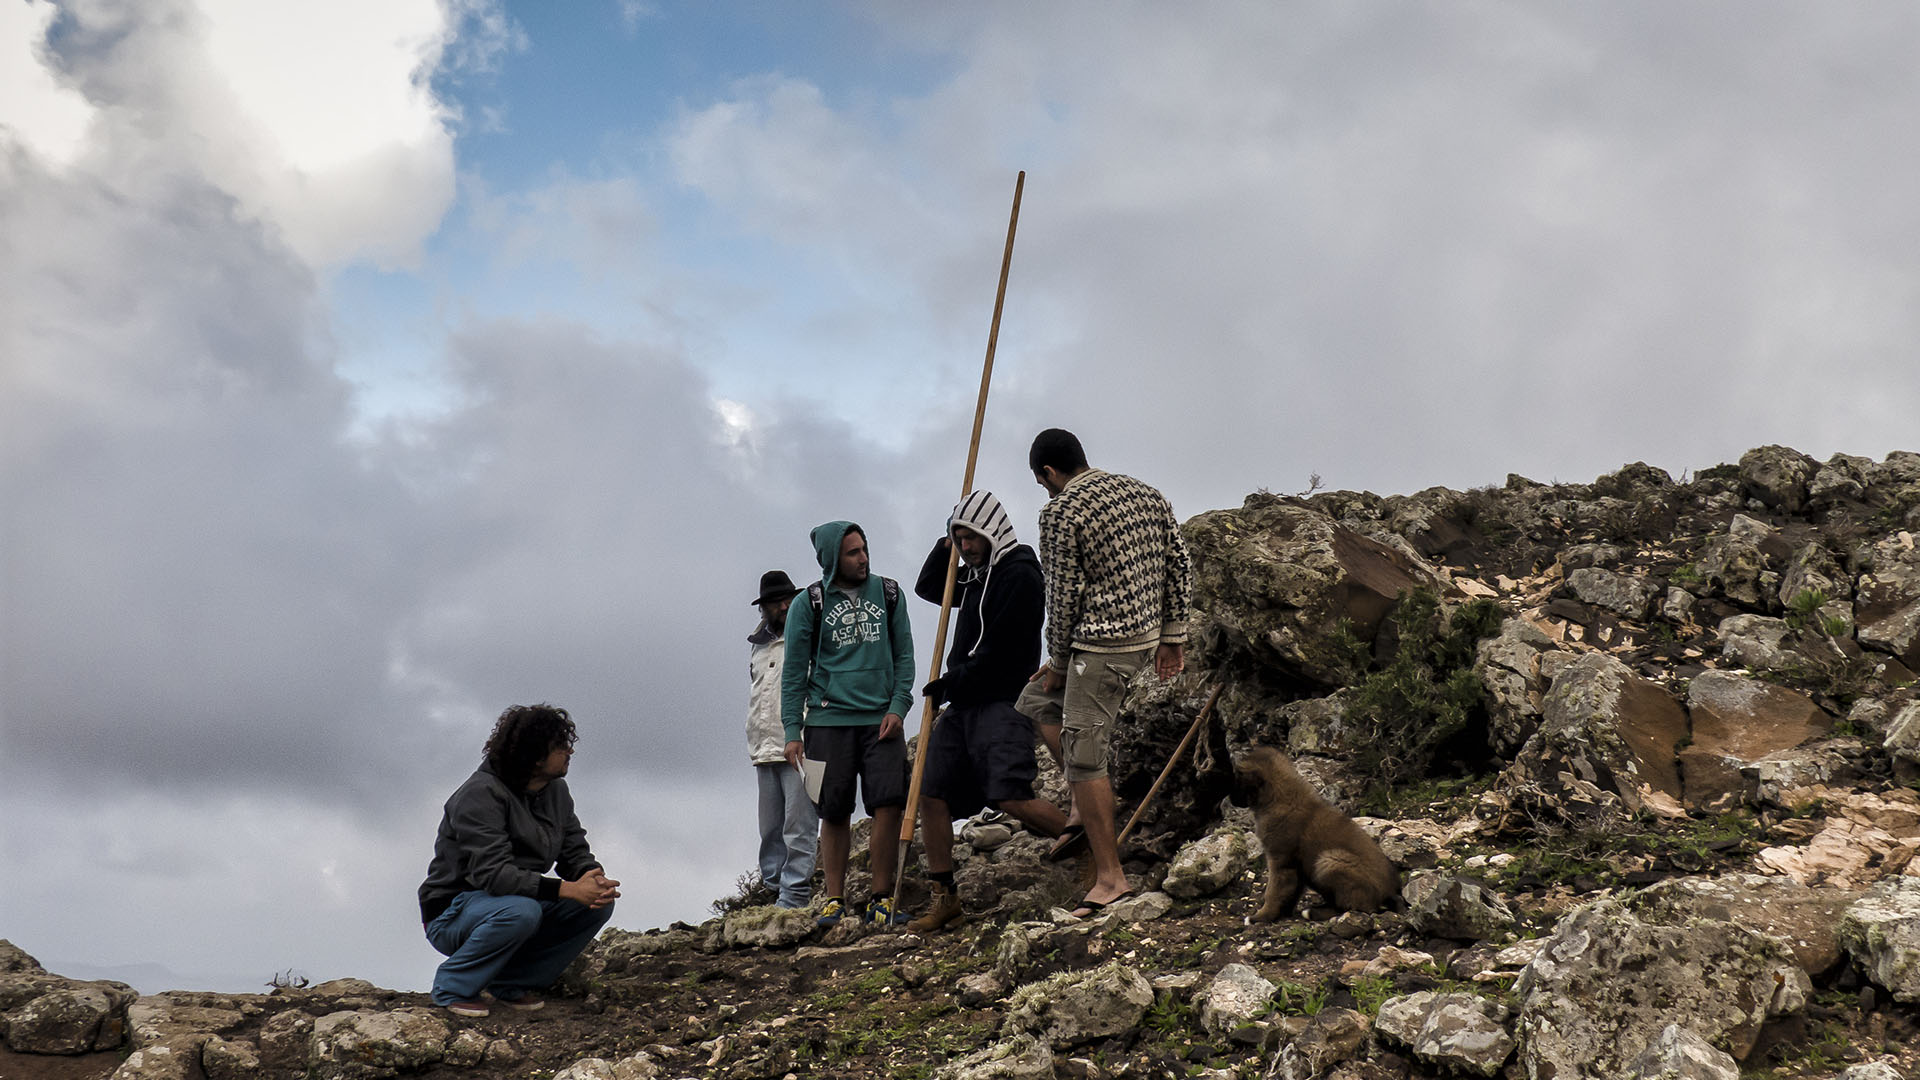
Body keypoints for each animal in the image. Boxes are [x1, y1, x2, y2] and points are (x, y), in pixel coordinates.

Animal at [1236, 749, 1405, 914]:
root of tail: (1390, 893)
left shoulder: (1280, 859)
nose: (1233, 800)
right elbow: (1291, 892)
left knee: (1355, 907)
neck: (1279, 798)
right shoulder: (1295, 867)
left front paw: (1260, 917)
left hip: (1329, 860)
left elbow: (1273, 892)